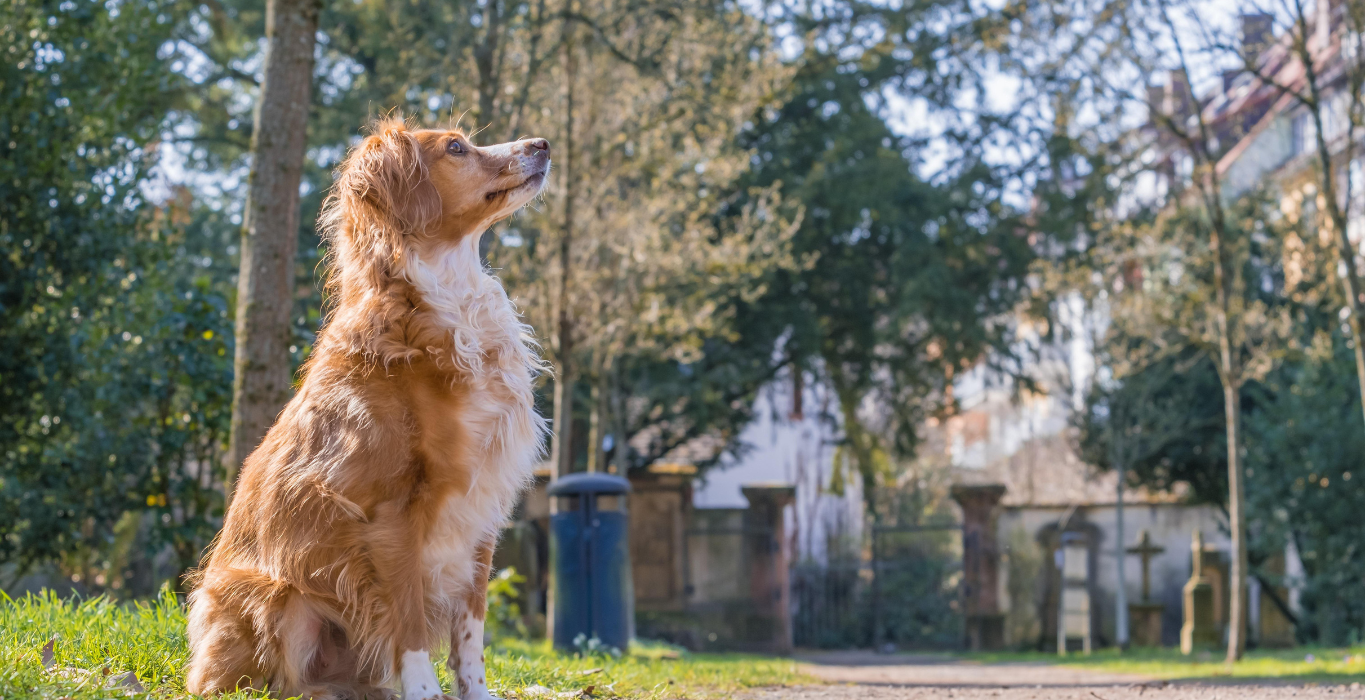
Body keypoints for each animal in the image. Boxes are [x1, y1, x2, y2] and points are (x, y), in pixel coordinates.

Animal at [185, 120, 548, 698]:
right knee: (268, 684)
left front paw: (475, 692)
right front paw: (424, 693)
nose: (543, 145)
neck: (443, 300)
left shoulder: (482, 509)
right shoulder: (389, 514)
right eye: (456, 148)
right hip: (277, 597)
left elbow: (471, 628)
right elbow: (409, 622)